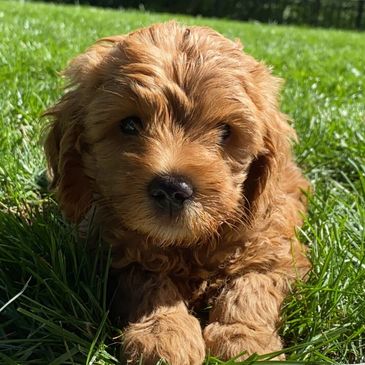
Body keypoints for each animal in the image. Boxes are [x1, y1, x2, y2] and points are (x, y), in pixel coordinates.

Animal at [44, 22, 308, 364]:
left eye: (226, 131)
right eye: (129, 125)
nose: (172, 188)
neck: (187, 244)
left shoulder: (274, 248)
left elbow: (251, 285)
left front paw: (244, 340)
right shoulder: (117, 251)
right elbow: (149, 283)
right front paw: (163, 334)